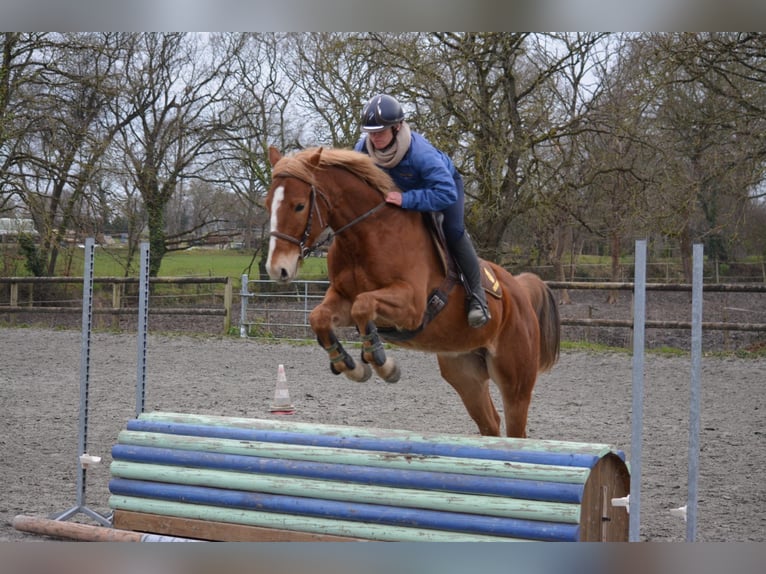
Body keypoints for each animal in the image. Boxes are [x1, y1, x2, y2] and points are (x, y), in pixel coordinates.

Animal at [265, 146, 560, 438]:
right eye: (268, 204)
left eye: (299, 206)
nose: (277, 269)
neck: (367, 235)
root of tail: (520, 290)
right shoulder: (341, 299)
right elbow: (320, 317)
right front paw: (350, 365)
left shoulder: (412, 307)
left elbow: (364, 304)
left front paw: (383, 365)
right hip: (465, 372)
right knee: (490, 423)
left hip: (515, 380)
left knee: (516, 427)